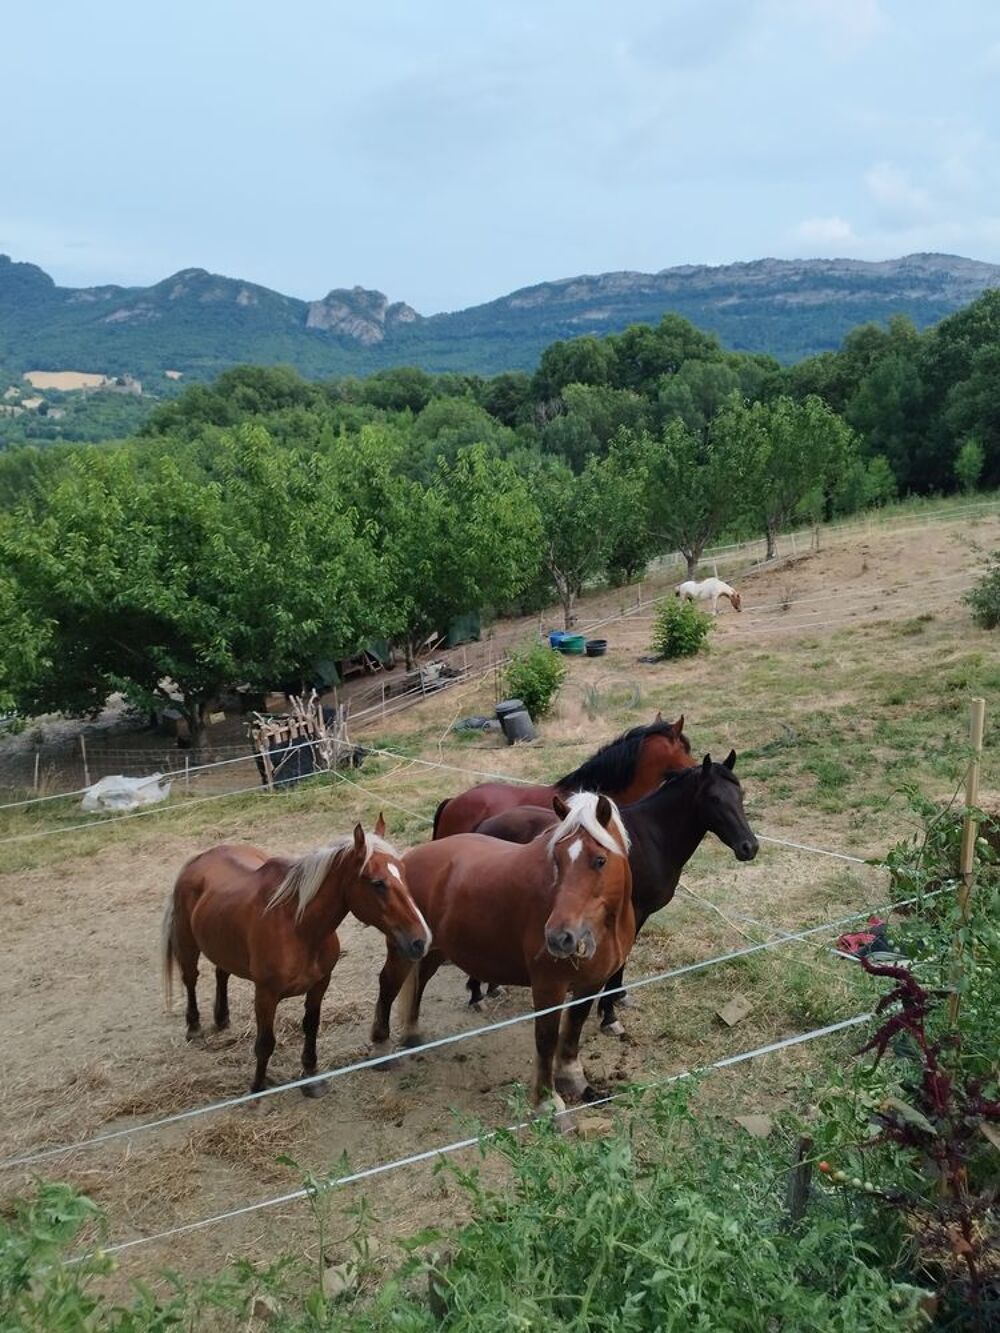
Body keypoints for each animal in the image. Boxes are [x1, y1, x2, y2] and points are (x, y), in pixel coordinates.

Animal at [162, 815, 432, 1096]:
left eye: (403, 871)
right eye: (378, 883)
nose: (420, 940)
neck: (299, 928)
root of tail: (200, 859)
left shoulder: (320, 984)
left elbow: (310, 1026)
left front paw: (311, 1076)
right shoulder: (266, 994)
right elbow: (265, 1042)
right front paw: (258, 1089)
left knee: (221, 972)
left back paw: (222, 1017)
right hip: (187, 943)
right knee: (190, 978)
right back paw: (194, 1027)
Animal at [370, 793, 634, 1112]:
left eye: (599, 860)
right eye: (556, 860)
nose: (559, 938)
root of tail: (403, 862)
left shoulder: (591, 984)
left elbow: (573, 1029)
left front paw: (575, 1082)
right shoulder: (549, 987)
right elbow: (546, 1038)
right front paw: (547, 1101)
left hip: (433, 950)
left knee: (420, 980)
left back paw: (412, 1034)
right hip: (401, 951)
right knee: (388, 985)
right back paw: (381, 1048)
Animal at [472, 753, 758, 1036]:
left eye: (740, 794)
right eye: (714, 798)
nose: (749, 846)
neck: (651, 838)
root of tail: (484, 824)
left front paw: (617, 998)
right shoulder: (631, 912)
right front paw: (609, 1016)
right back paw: (477, 996)